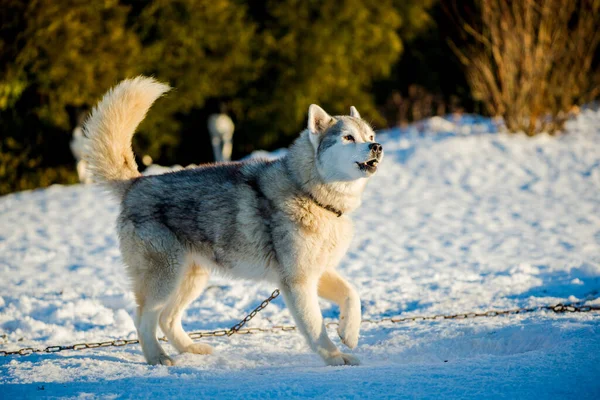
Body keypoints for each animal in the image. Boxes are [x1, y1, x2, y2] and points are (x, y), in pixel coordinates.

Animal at [82, 76, 384, 368]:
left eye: (369, 136)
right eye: (348, 137)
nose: (377, 147)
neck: (310, 194)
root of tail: (136, 184)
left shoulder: (317, 271)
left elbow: (352, 294)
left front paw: (348, 333)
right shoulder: (297, 280)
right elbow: (315, 326)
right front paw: (335, 358)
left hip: (191, 277)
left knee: (167, 318)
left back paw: (191, 348)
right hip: (164, 277)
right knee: (144, 319)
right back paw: (157, 358)